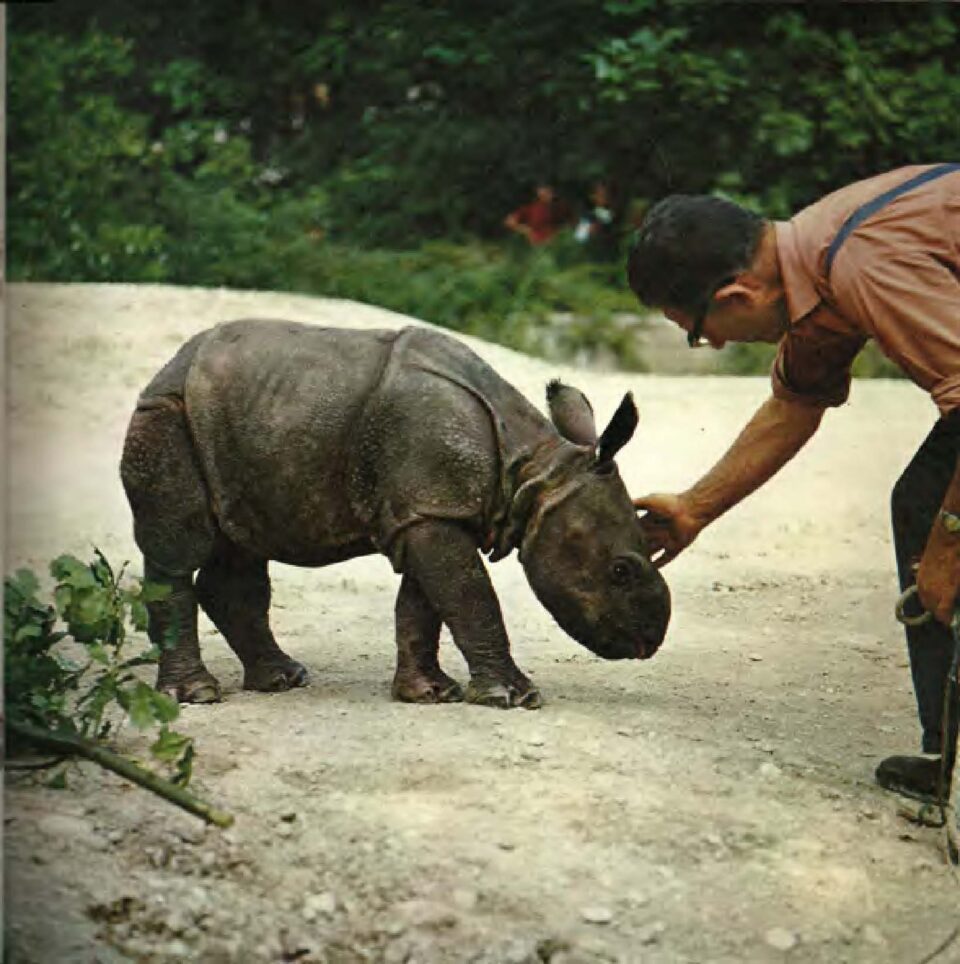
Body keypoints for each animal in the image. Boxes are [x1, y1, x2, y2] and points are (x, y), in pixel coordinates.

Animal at [120, 320, 670, 709]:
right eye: (620, 571)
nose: (650, 641)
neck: (532, 476)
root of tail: (171, 364)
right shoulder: (432, 508)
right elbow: (470, 596)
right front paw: (514, 697)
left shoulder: (429, 510)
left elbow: (426, 603)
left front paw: (429, 694)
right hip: (166, 412)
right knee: (180, 548)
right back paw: (198, 695)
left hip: (238, 423)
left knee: (243, 546)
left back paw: (282, 679)